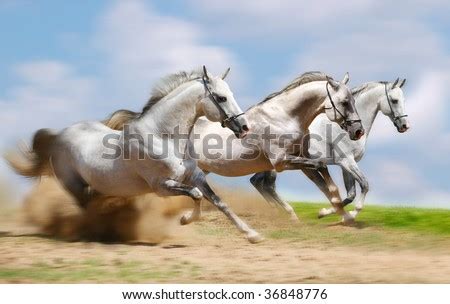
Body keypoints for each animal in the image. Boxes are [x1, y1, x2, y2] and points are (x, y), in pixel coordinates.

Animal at [7, 66, 268, 242]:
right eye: (222, 98)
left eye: (231, 94)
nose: (245, 127)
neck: (163, 137)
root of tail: (59, 135)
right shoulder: (161, 186)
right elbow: (195, 195)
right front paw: (184, 220)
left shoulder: (195, 177)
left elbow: (218, 202)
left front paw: (252, 234)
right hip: (74, 184)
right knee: (85, 207)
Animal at [251, 78, 410, 221]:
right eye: (394, 100)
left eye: (403, 99)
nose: (404, 126)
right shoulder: (347, 161)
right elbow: (364, 185)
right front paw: (349, 215)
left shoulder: (346, 165)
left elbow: (350, 195)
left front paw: (326, 213)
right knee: (267, 185)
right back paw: (288, 213)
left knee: (258, 182)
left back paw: (279, 212)